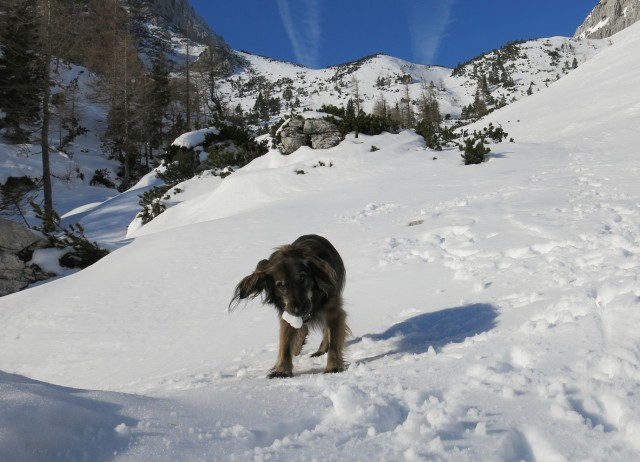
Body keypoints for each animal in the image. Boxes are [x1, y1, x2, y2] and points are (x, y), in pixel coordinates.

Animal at [230, 235, 350, 378]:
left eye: (302, 278)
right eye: (281, 285)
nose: (299, 310)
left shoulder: (333, 310)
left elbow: (334, 341)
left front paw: (333, 367)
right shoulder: (287, 313)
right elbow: (285, 344)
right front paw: (282, 370)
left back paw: (320, 350)